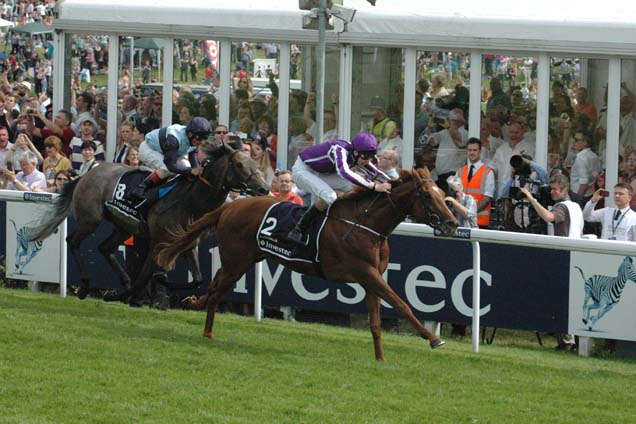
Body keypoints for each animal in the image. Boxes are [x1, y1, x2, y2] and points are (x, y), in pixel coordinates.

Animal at [30, 142, 268, 302]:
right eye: (239, 164)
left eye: (255, 162)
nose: (264, 188)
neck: (190, 201)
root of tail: (87, 174)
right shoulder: (158, 243)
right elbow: (144, 277)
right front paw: (121, 295)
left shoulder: (187, 244)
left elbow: (197, 279)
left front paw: (159, 281)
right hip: (91, 219)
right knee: (73, 241)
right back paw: (86, 286)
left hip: (122, 226)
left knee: (104, 247)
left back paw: (123, 280)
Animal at [157, 167, 460, 360]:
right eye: (428, 196)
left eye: (442, 194)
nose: (452, 223)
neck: (365, 225)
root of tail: (230, 206)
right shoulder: (365, 272)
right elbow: (401, 303)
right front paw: (432, 338)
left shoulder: (371, 277)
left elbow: (375, 322)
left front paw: (380, 359)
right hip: (237, 260)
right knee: (218, 290)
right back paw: (206, 327)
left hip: (244, 259)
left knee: (216, 284)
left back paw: (197, 307)